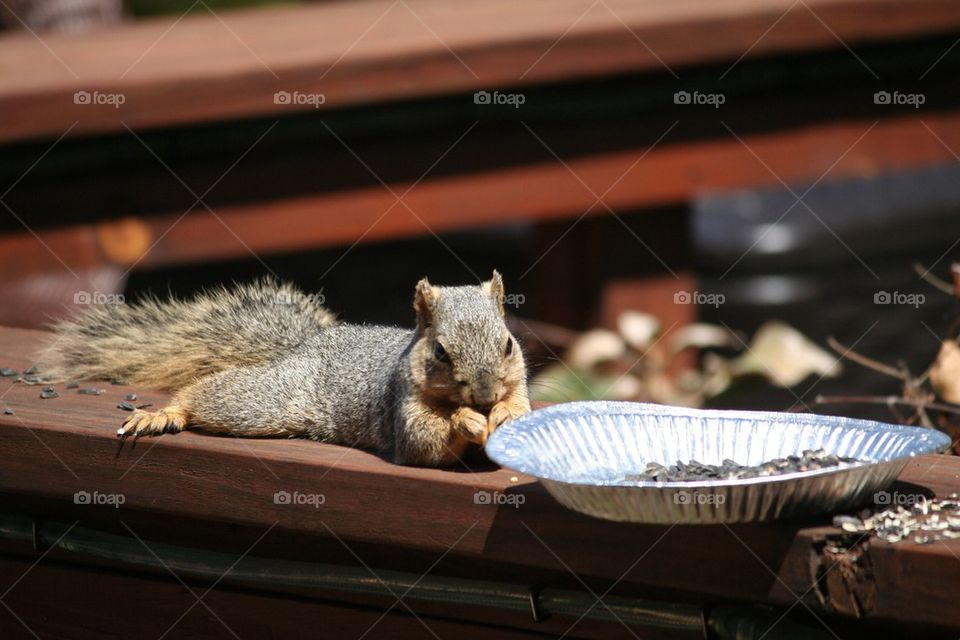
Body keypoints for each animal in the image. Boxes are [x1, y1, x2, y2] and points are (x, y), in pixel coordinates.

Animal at [39, 270, 532, 464]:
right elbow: (424, 440)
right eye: (441, 353)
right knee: (207, 394)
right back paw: (164, 412)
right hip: (265, 402)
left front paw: (504, 416)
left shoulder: (520, 386)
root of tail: (303, 346)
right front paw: (467, 420)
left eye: (508, 344)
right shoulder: (401, 405)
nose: (485, 397)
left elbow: (522, 410)